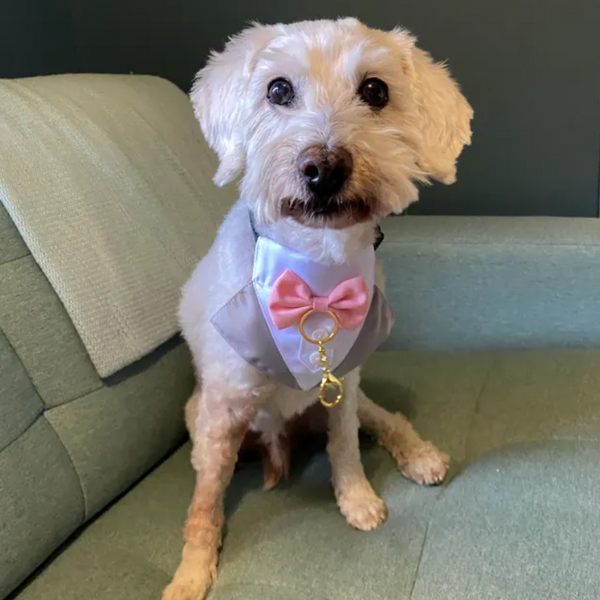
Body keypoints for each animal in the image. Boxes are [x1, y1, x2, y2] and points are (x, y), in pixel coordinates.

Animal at [164, 17, 474, 600]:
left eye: (375, 90)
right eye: (278, 89)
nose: (324, 168)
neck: (315, 274)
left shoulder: (343, 390)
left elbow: (345, 448)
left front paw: (357, 500)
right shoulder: (220, 414)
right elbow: (204, 501)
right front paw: (192, 572)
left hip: (356, 396)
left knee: (385, 418)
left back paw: (419, 454)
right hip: (198, 414)